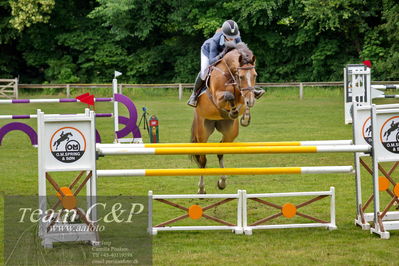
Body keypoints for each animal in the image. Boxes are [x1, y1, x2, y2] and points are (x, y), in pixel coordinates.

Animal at [191, 42, 260, 194]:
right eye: (241, 76)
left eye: (255, 75)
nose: (251, 102)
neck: (231, 74)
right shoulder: (217, 98)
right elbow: (230, 95)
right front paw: (234, 110)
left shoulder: (243, 94)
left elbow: (242, 98)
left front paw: (245, 117)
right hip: (203, 131)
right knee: (203, 159)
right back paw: (201, 189)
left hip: (230, 132)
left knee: (220, 150)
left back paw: (222, 182)